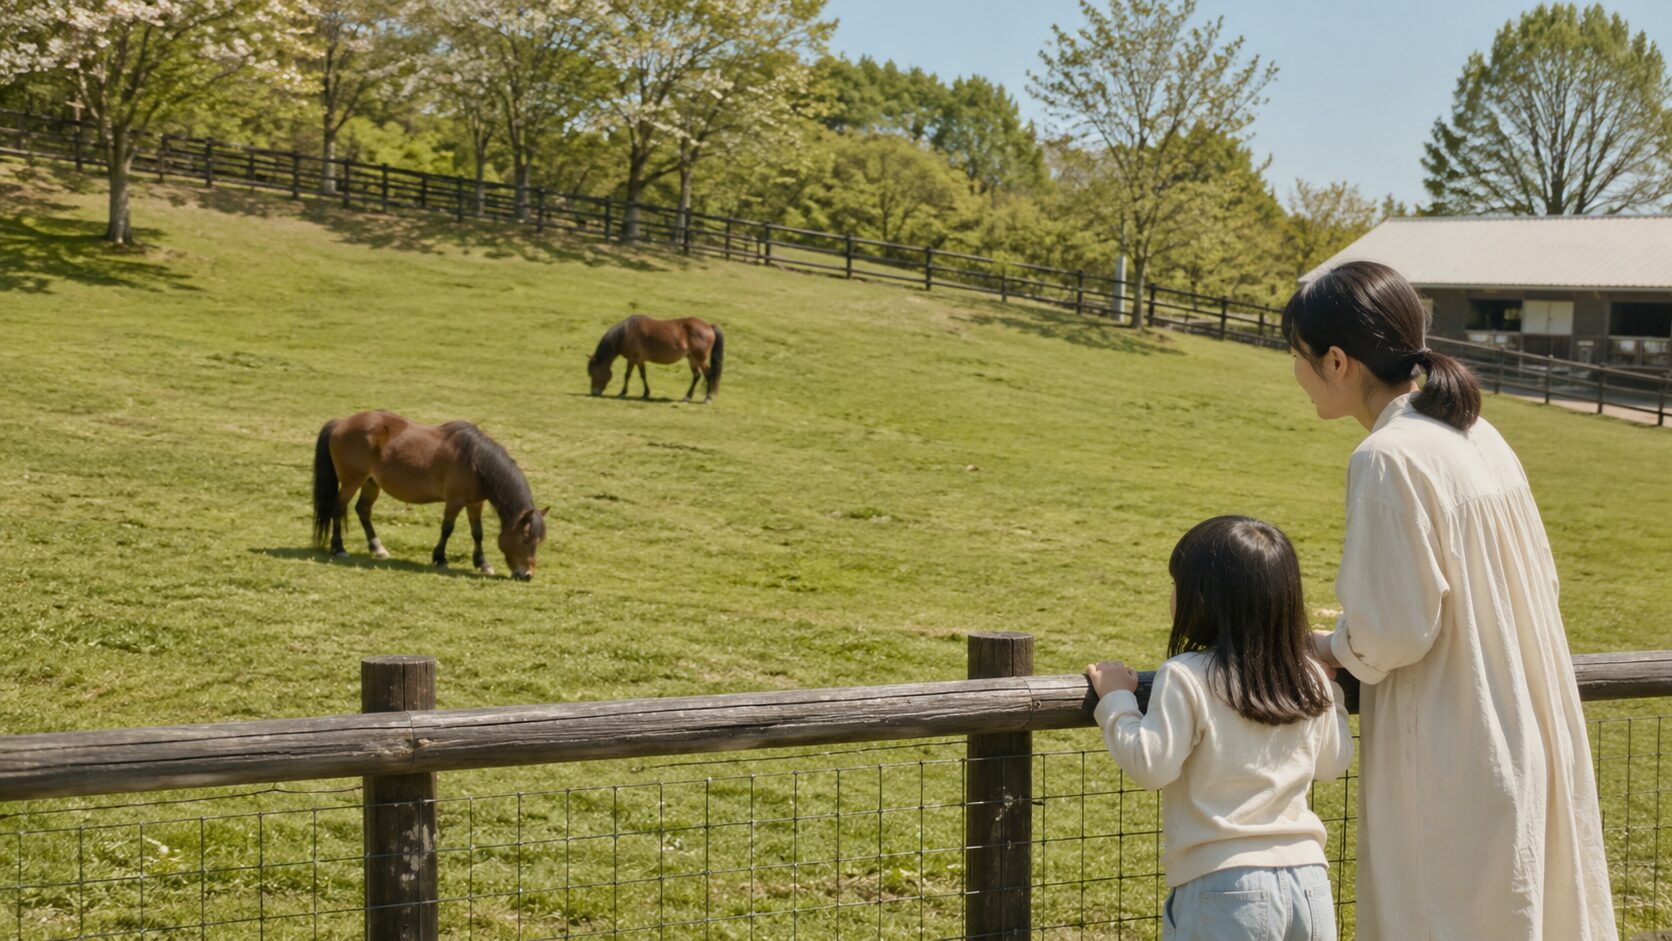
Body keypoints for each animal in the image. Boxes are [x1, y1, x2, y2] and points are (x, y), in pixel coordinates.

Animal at [311, 411, 549, 580]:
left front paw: (483, 563)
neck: (475, 460)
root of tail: (341, 422)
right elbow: (447, 529)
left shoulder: (475, 503)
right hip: (351, 482)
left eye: (539, 541)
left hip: (371, 483)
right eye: (525, 538)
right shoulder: (455, 501)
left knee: (363, 510)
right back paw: (339, 548)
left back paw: (378, 548)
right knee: (338, 508)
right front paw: (440, 558)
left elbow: (477, 533)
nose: (527, 575)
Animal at [587, 315, 724, 402]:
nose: (594, 392)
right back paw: (687, 397)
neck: (625, 334)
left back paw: (707, 398)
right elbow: (642, 375)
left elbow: (628, 375)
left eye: (594, 372)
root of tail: (709, 326)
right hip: (692, 359)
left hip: (699, 359)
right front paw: (645, 394)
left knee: (708, 374)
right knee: (697, 376)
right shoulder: (638, 360)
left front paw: (623, 393)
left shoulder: (633, 359)